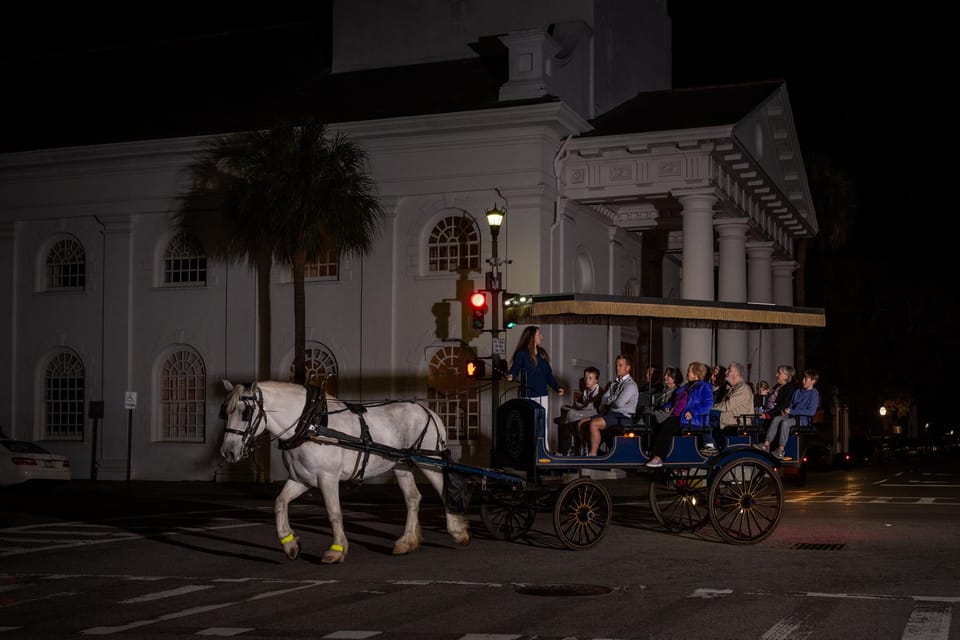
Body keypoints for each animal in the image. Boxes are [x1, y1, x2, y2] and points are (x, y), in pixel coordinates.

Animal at [221, 382, 468, 564]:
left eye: (245, 412)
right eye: (225, 413)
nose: (227, 451)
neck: (310, 425)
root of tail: (428, 411)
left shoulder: (327, 477)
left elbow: (334, 512)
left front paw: (337, 550)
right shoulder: (301, 479)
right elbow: (279, 503)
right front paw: (289, 543)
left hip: (429, 462)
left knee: (444, 492)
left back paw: (457, 531)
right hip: (401, 465)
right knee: (413, 498)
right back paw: (406, 541)